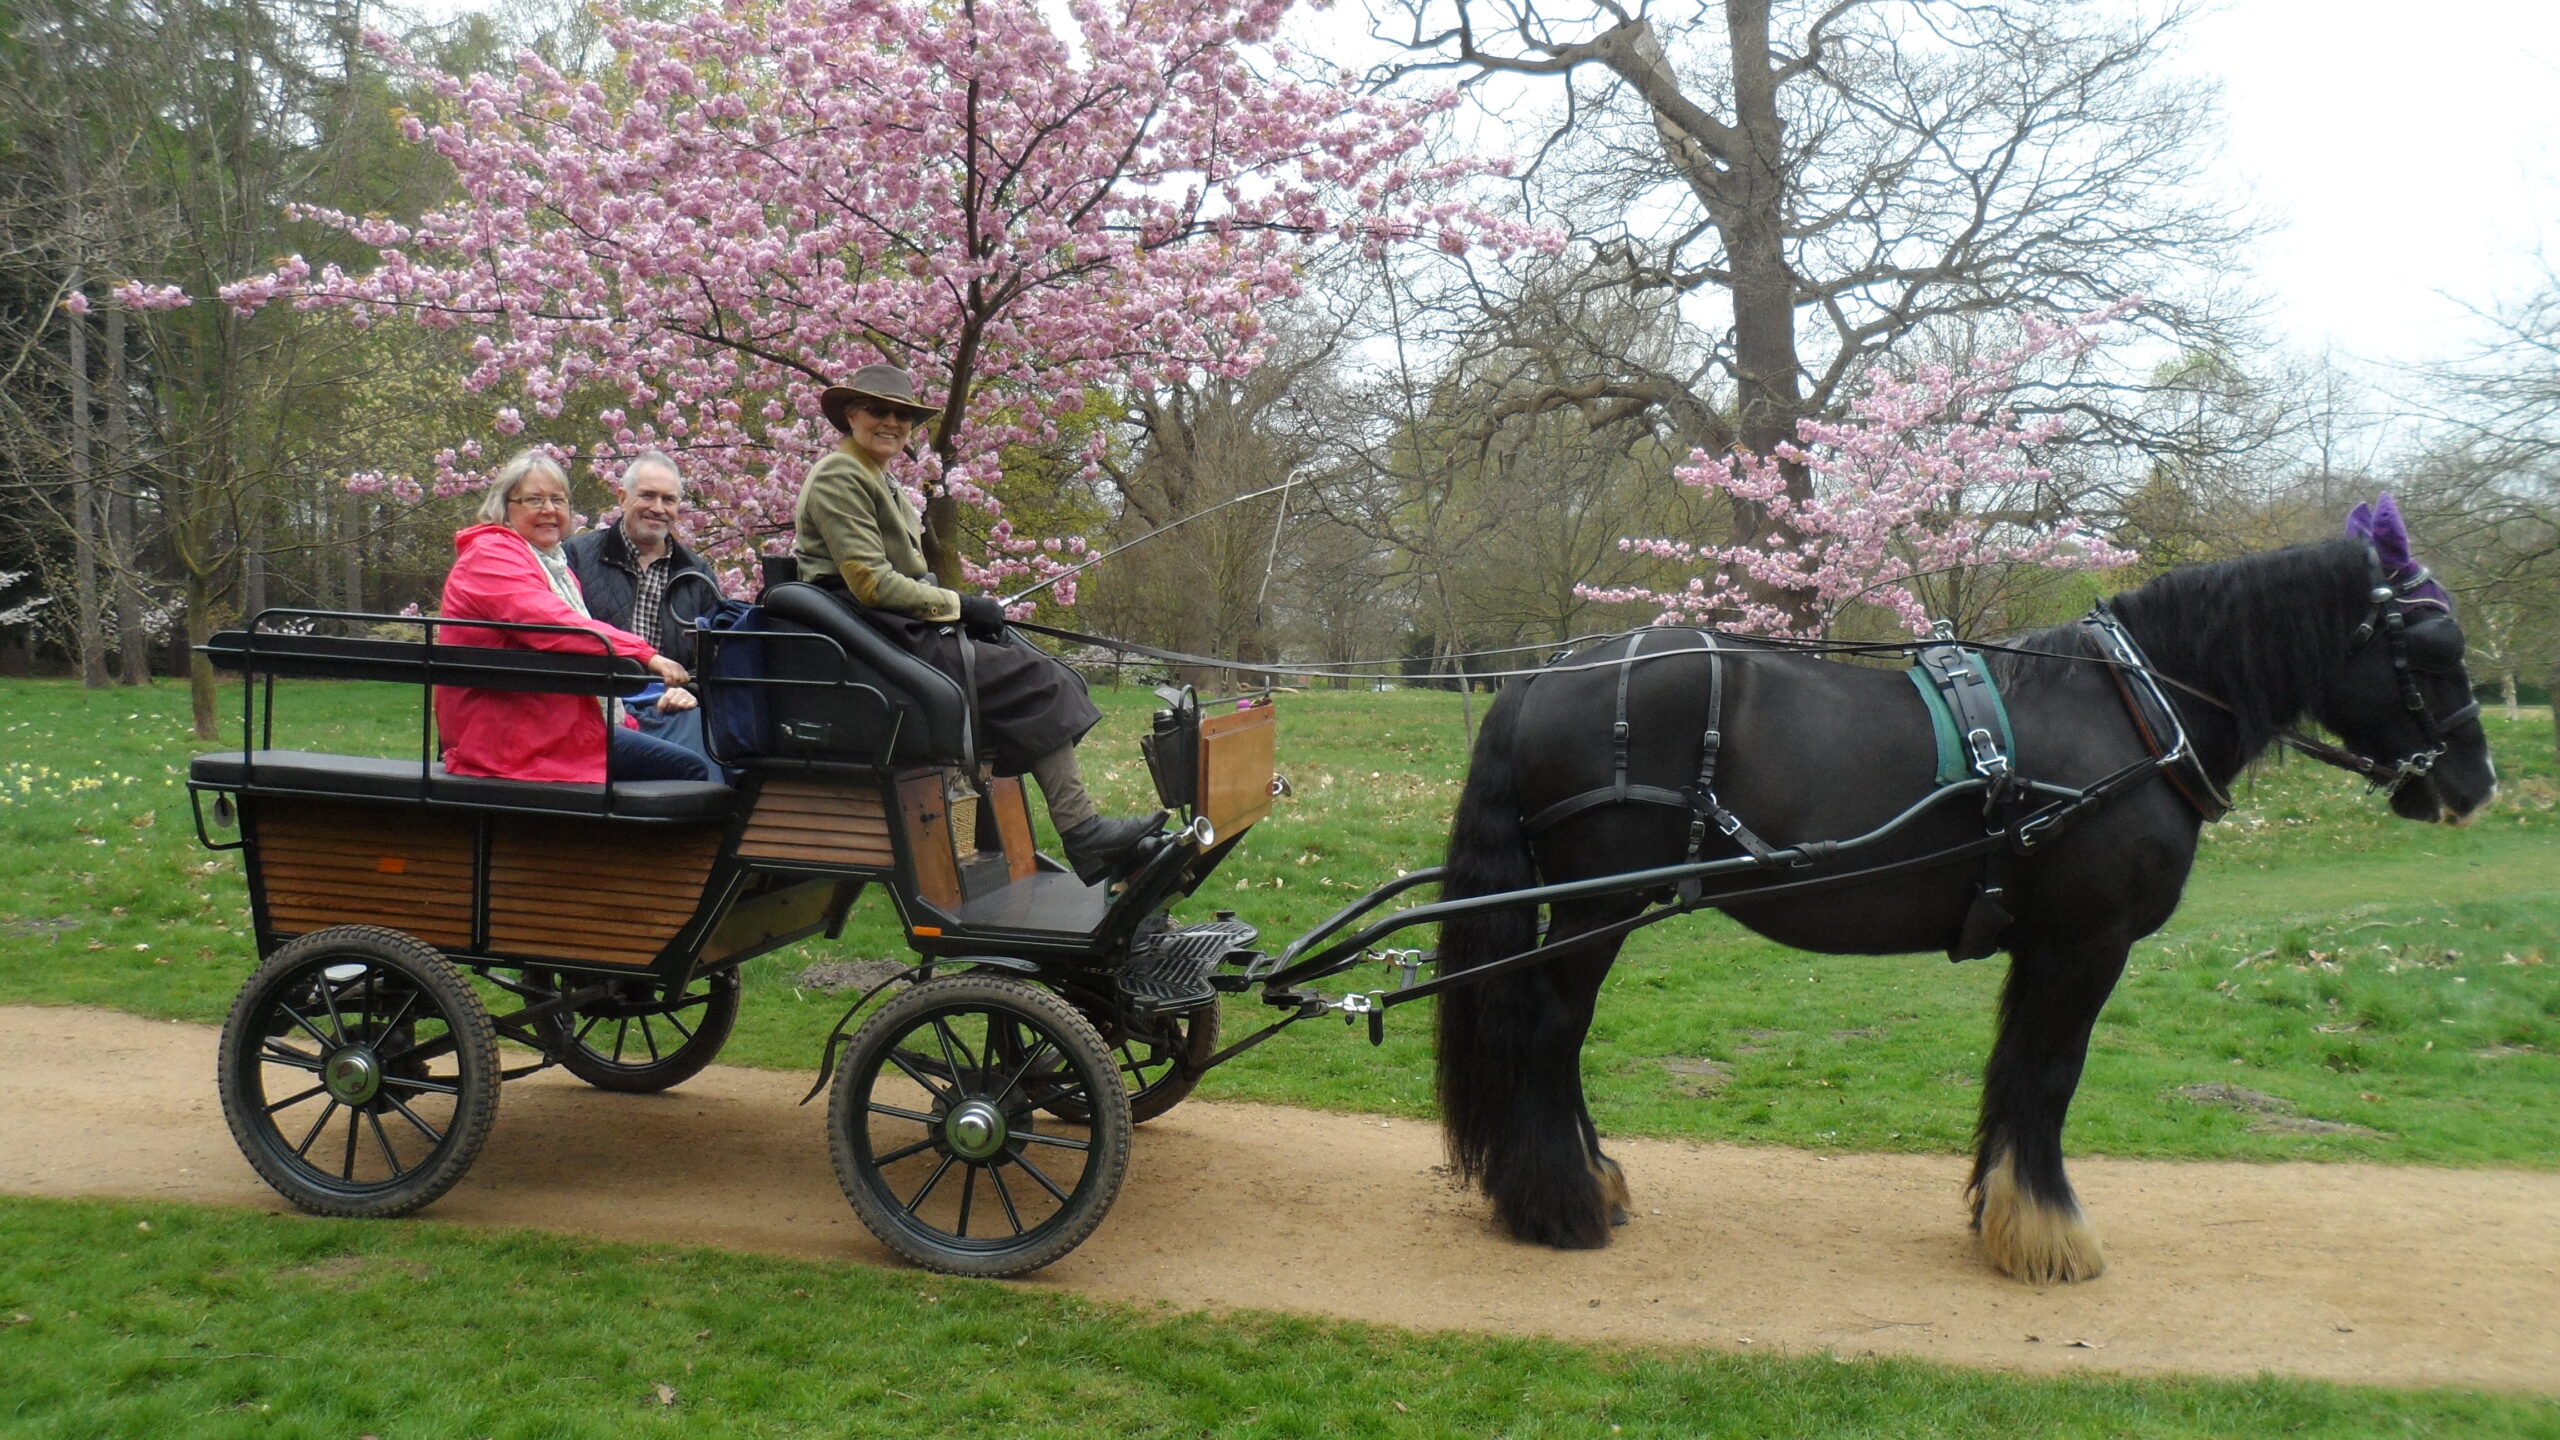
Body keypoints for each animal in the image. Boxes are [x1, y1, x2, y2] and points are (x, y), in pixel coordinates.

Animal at [1443, 512, 2498, 1276]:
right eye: (2431, 647)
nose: (2476, 785)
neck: (2133, 709)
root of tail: (1543, 675)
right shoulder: (2087, 943)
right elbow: (2051, 1075)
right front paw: (2050, 1234)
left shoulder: (2044, 946)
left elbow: (2014, 1071)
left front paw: (2005, 1215)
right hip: (1598, 906)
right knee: (1551, 1030)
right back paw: (1562, 1204)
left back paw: (1593, 1179)